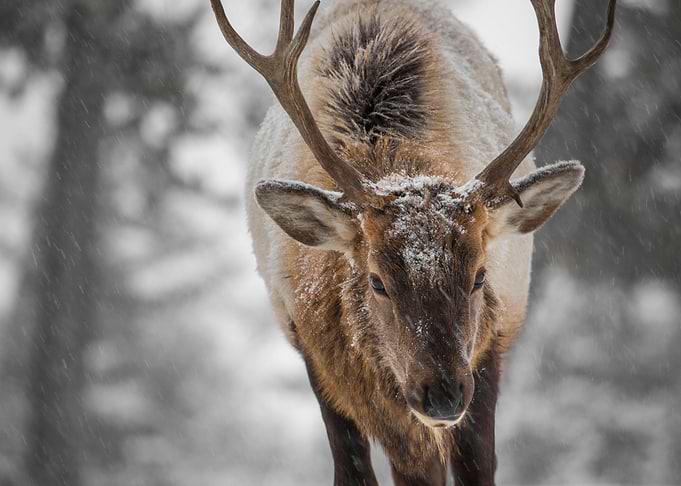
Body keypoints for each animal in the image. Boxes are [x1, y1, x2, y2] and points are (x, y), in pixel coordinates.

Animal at [209, 0, 616, 484]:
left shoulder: (487, 353)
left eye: (480, 275)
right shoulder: (319, 358)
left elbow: (477, 467)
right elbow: (356, 470)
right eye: (377, 281)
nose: (441, 395)